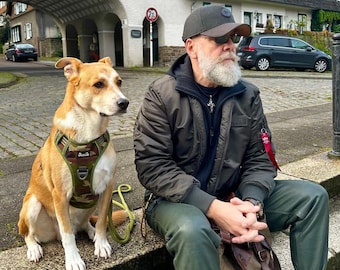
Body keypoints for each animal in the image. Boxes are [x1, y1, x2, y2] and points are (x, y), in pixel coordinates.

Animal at [18, 57, 130, 270]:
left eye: (119, 82)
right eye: (99, 84)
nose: (124, 103)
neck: (88, 132)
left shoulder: (107, 187)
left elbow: (102, 222)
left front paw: (101, 243)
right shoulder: (60, 194)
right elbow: (68, 235)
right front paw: (73, 259)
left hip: (91, 204)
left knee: (86, 224)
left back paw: (91, 231)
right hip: (32, 205)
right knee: (31, 234)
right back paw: (34, 248)